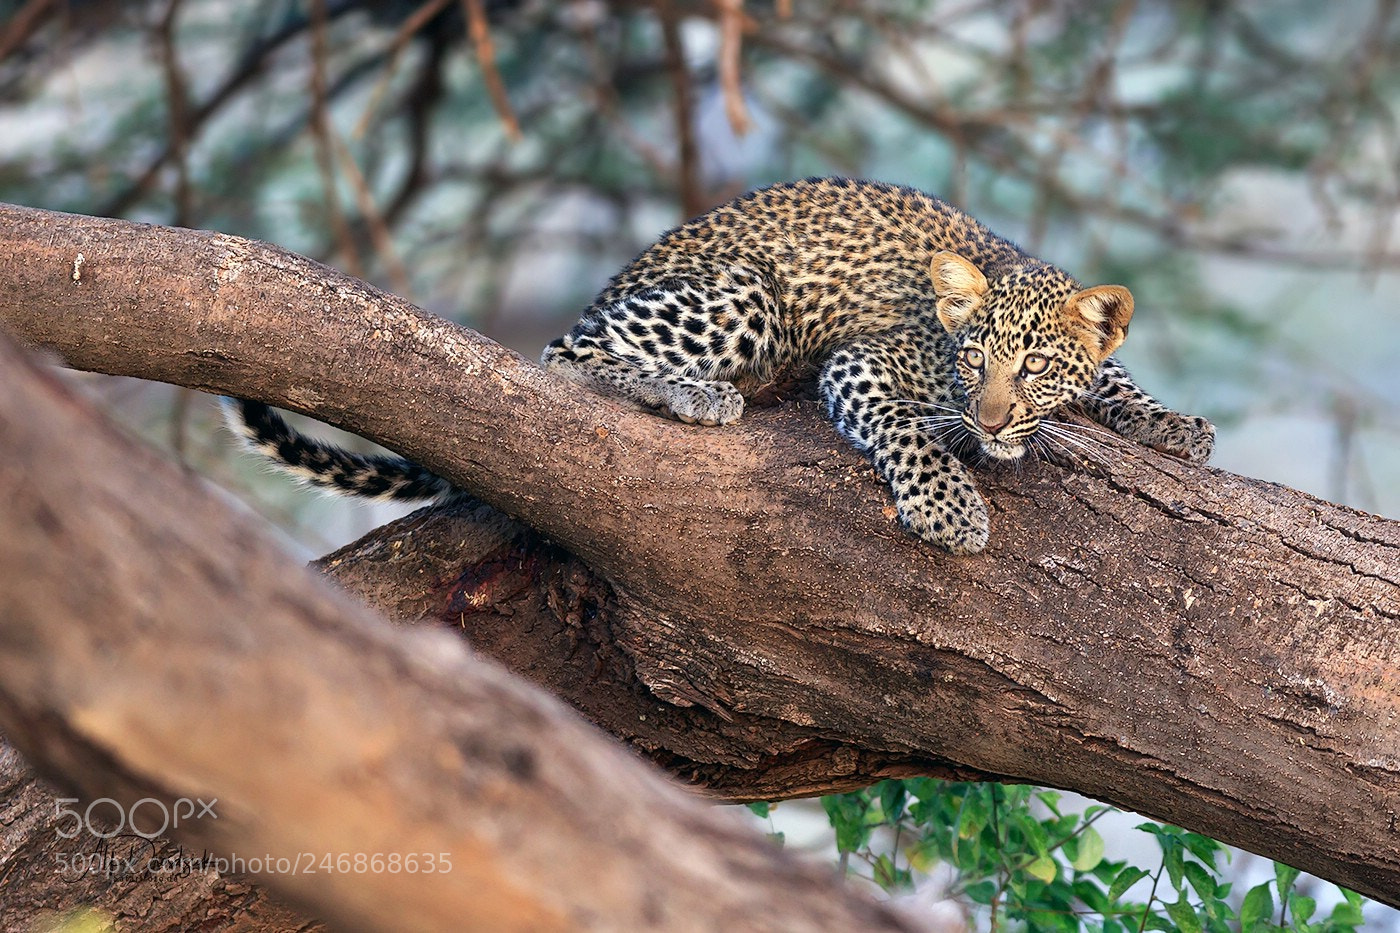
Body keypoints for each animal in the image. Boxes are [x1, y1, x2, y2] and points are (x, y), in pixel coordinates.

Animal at [229, 177, 1214, 555]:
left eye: (1037, 367)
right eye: (972, 360)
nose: (995, 419)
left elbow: (1116, 376)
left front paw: (1175, 425)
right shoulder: (863, 363)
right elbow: (910, 429)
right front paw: (950, 507)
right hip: (748, 298)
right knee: (566, 355)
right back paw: (689, 393)